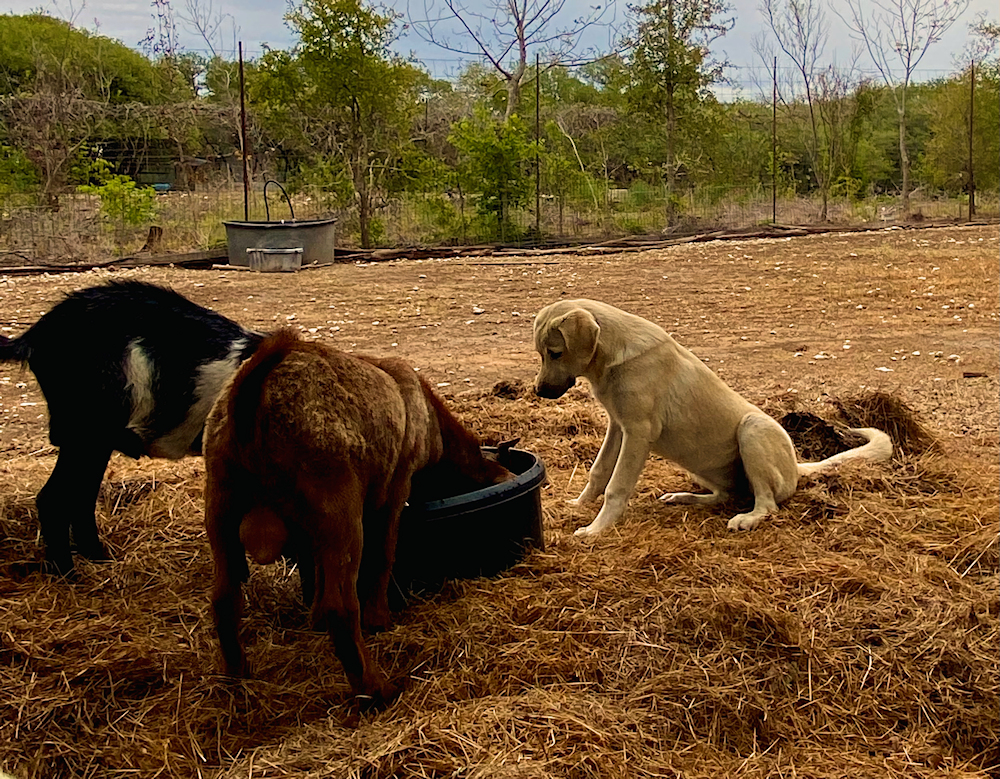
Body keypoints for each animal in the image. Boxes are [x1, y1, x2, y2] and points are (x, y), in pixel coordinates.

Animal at [0, 280, 264, 572]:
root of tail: (33, 337)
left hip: (93, 439)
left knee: (81, 497)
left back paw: (99, 558)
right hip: (86, 428)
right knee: (54, 499)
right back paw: (70, 574)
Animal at [206, 330, 512, 708]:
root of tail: (252, 394)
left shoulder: (311, 527)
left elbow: (316, 567)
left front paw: (314, 617)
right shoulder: (395, 488)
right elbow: (383, 555)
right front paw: (379, 618)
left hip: (221, 503)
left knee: (225, 598)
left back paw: (237, 674)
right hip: (340, 508)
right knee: (342, 607)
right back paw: (376, 689)